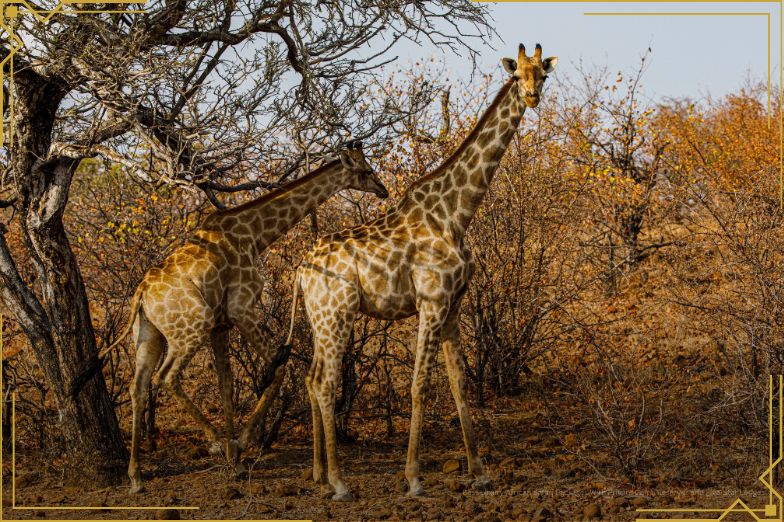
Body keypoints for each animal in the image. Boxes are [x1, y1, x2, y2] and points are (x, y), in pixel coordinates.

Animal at [72, 142, 388, 494]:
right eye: (366, 170)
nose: (384, 190)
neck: (253, 233)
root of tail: (140, 294)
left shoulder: (221, 325)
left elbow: (226, 382)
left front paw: (233, 458)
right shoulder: (241, 308)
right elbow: (279, 369)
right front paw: (237, 444)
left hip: (149, 334)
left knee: (137, 386)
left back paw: (136, 476)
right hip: (192, 325)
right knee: (165, 377)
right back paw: (210, 442)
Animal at [286, 44, 557, 500]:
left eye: (543, 74)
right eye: (517, 74)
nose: (533, 96)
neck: (456, 215)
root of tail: (302, 270)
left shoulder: (452, 306)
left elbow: (460, 384)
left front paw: (480, 472)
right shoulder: (430, 302)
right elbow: (419, 386)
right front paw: (413, 478)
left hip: (320, 318)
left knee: (311, 377)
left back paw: (320, 475)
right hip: (337, 314)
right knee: (325, 383)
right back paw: (340, 483)